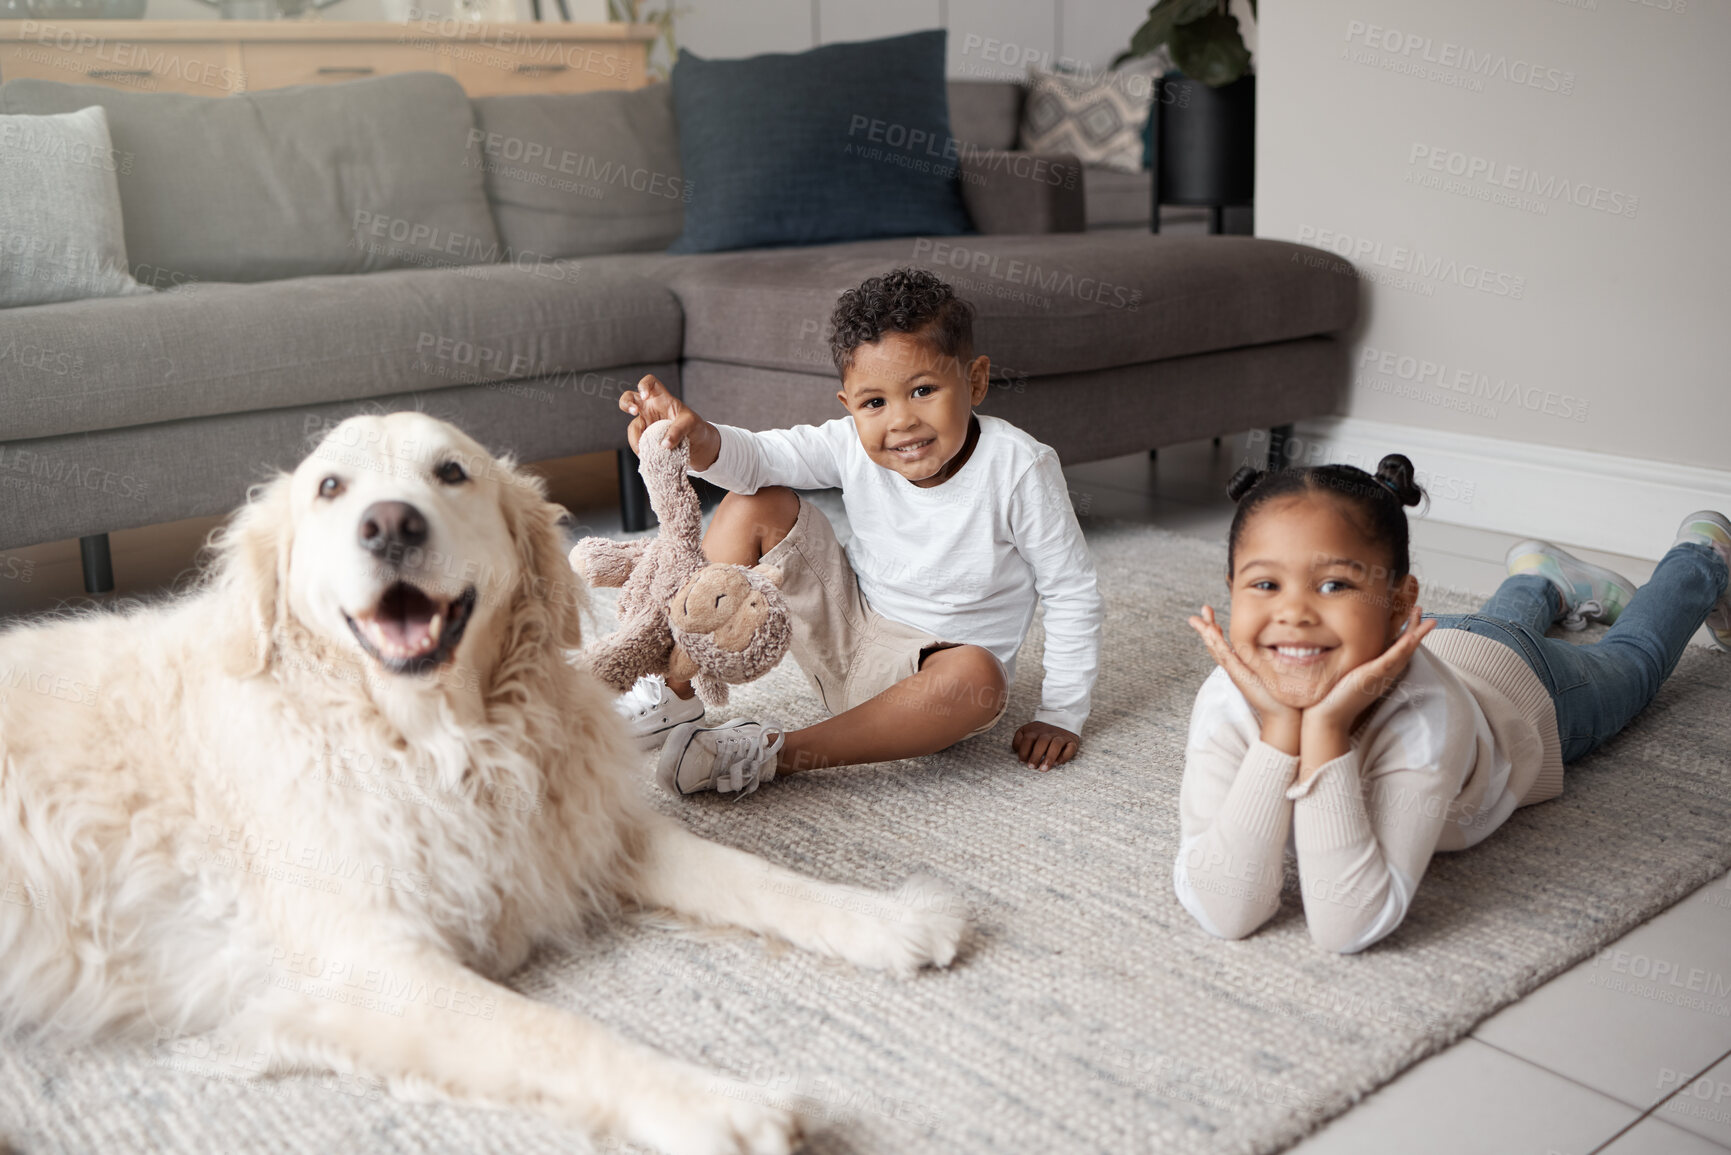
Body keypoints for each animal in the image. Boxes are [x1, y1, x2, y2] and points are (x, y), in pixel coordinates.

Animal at [0, 415, 962, 1155]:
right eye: (330, 487)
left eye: (450, 471)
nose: (389, 525)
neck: (440, 740)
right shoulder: (372, 965)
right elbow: (561, 1034)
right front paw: (720, 1104)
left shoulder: (578, 831)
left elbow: (758, 877)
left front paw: (887, 917)